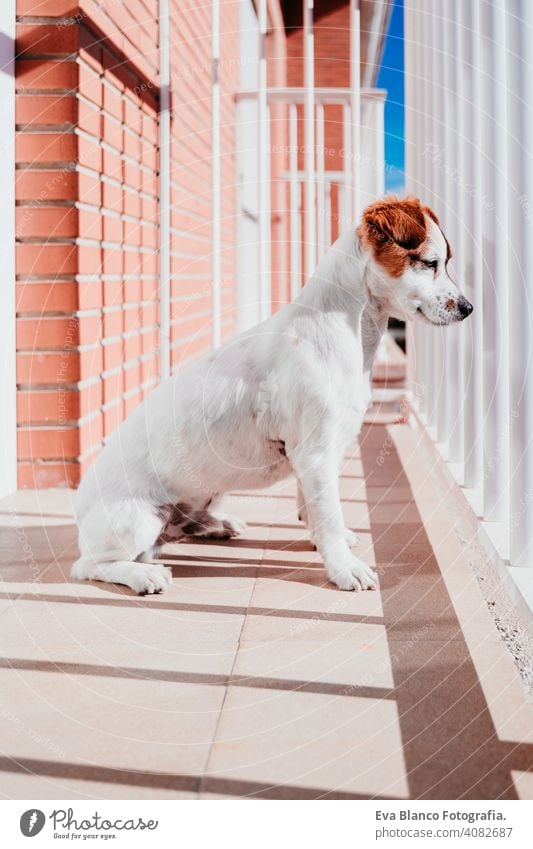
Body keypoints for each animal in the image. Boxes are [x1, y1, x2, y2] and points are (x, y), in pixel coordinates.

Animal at [72, 199, 472, 596]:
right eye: (431, 262)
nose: (468, 308)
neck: (348, 331)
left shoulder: (323, 450)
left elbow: (314, 507)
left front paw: (329, 540)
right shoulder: (315, 453)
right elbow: (328, 512)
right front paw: (344, 568)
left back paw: (216, 524)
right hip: (136, 519)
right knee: (92, 566)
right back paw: (145, 576)